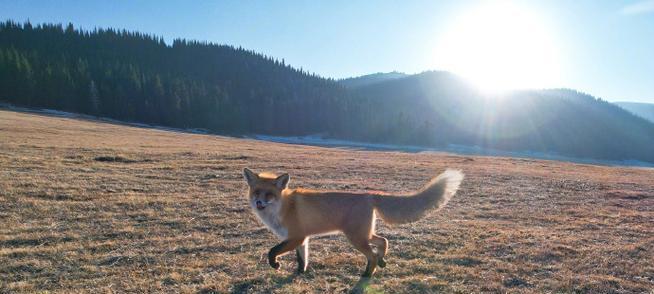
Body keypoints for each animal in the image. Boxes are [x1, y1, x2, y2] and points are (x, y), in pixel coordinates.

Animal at [243, 167, 464, 276]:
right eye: (256, 192)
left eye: (269, 195)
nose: (259, 203)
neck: (283, 207)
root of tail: (369, 195)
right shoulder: (302, 239)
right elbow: (302, 260)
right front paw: (299, 274)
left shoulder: (296, 237)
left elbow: (272, 251)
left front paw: (275, 265)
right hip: (364, 234)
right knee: (383, 241)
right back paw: (382, 261)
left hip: (355, 238)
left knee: (372, 254)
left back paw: (368, 274)